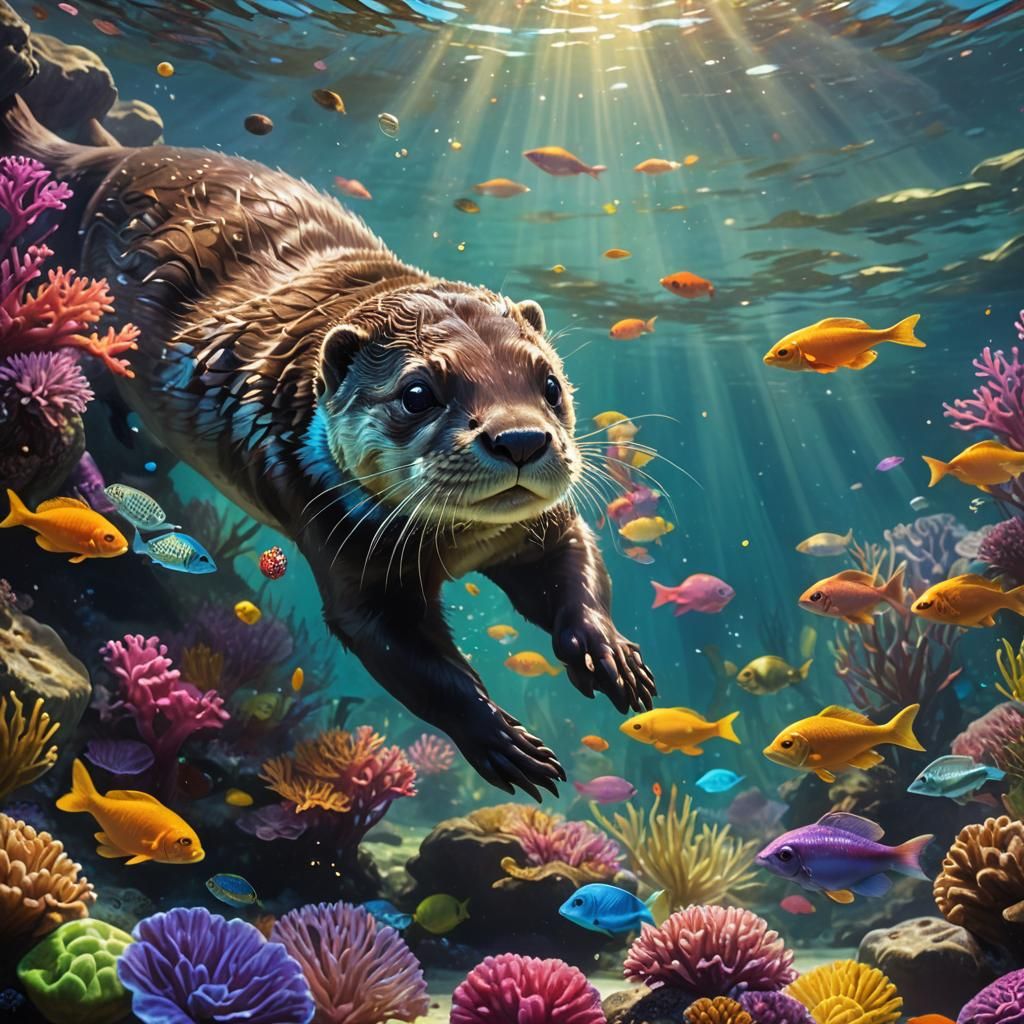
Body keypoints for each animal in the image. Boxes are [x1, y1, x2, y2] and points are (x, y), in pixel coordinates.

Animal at [2, 98, 656, 797]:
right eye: (419, 393)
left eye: (550, 383)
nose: (522, 439)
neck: (461, 543)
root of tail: (117, 154)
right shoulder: (345, 549)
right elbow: (408, 657)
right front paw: (504, 742)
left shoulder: (541, 526)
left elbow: (575, 562)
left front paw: (609, 653)